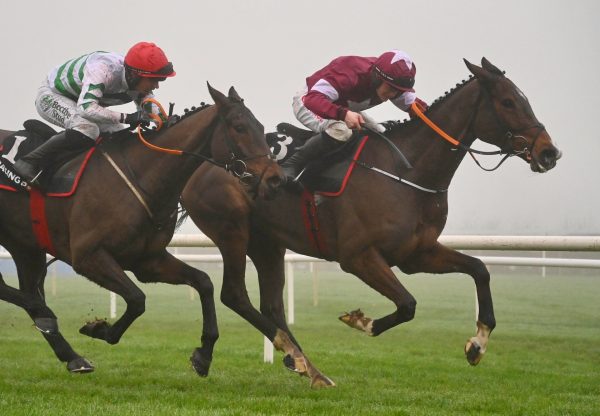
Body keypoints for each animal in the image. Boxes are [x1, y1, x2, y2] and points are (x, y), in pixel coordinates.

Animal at [0, 83, 284, 374]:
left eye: (261, 127)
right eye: (239, 127)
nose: (276, 179)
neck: (142, 176)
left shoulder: (147, 260)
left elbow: (203, 283)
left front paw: (203, 354)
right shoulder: (87, 256)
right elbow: (137, 299)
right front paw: (99, 329)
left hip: (25, 246)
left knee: (26, 289)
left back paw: (71, 354)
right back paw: (45, 314)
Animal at [182, 58, 564, 386]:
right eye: (508, 102)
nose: (549, 152)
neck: (407, 171)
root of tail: (199, 167)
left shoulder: (417, 254)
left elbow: (480, 269)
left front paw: (478, 344)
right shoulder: (358, 257)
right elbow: (408, 304)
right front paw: (361, 321)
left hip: (268, 243)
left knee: (272, 306)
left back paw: (305, 365)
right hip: (233, 232)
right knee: (234, 294)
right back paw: (222, 356)